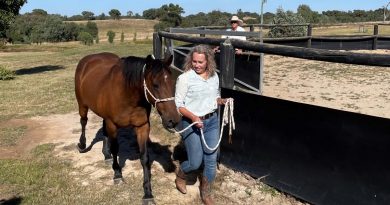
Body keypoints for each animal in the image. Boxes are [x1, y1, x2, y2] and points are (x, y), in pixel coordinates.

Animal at [74, 52, 181, 203]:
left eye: (172, 83)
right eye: (155, 85)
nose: (173, 120)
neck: (128, 95)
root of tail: (88, 59)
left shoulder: (142, 126)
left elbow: (145, 158)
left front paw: (147, 193)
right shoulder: (113, 124)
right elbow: (115, 149)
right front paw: (117, 174)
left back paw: (106, 155)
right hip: (82, 105)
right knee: (83, 122)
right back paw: (82, 145)